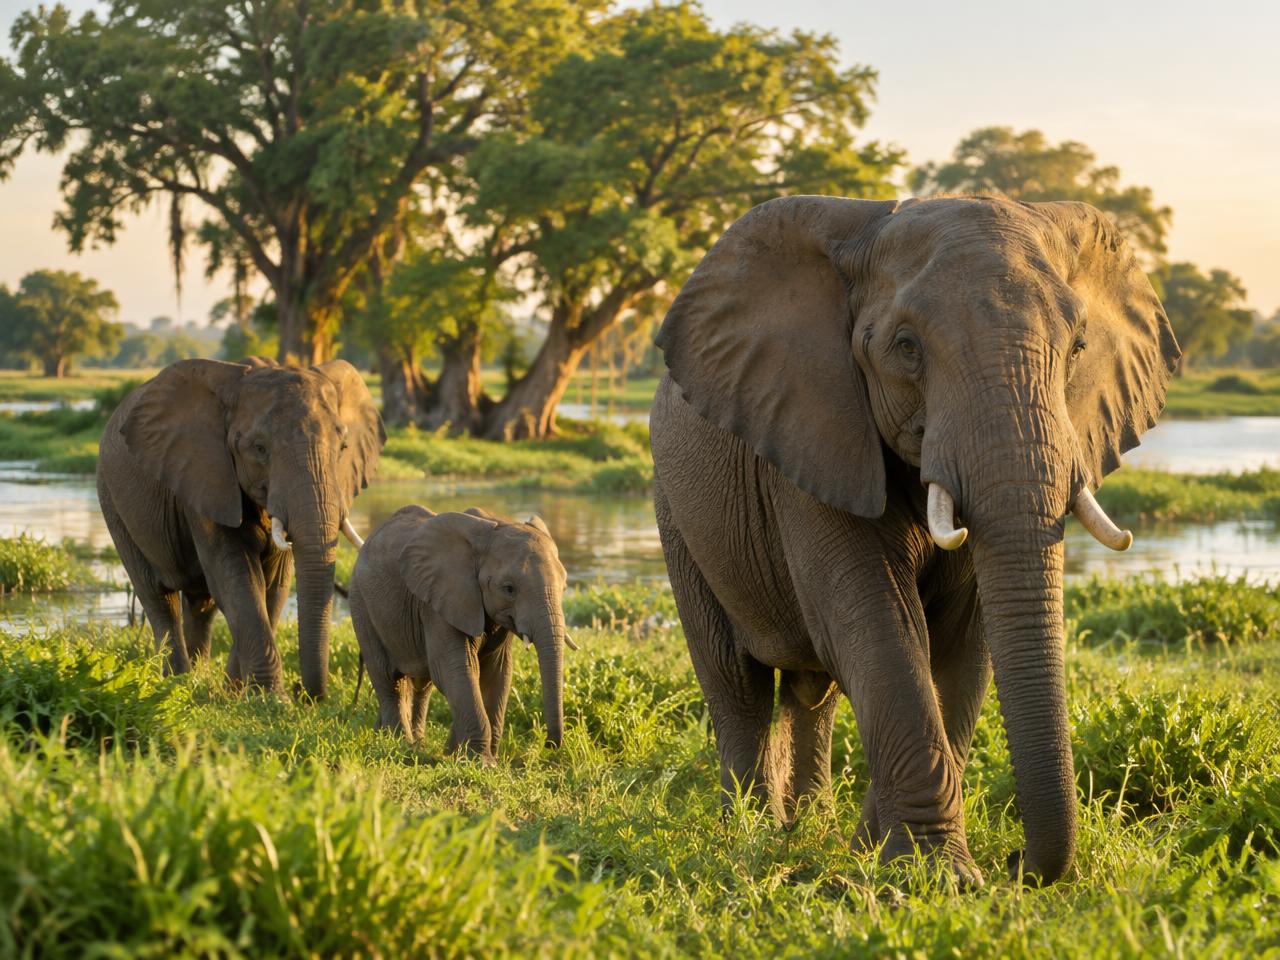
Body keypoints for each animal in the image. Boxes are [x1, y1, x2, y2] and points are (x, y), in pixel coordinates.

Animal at [97, 357, 385, 698]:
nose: (306, 695)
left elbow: (273, 586)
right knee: (158, 597)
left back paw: (199, 681)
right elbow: (237, 578)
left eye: (342, 447)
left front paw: (237, 694)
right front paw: (270, 699)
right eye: (259, 448)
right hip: (111, 498)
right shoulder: (207, 474)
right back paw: (176, 683)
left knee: (201, 605)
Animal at [347, 506, 574, 758]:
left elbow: (497, 672)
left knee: (422, 684)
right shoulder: (438, 603)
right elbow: (457, 668)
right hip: (361, 602)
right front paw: (481, 760)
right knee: (389, 679)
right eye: (509, 589)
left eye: (565, 587)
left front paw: (462, 755)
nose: (548, 744)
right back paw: (399, 745)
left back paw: (411, 743)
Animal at [649, 195, 1179, 886]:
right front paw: (933, 876)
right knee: (735, 680)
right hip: (675, 508)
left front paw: (872, 851)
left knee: (812, 692)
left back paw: (811, 828)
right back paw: (752, 832)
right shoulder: (813, 432)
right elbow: (876, 625)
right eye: (906, 348)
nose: (1017, 863)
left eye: (1079, 347)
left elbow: (963, 641)